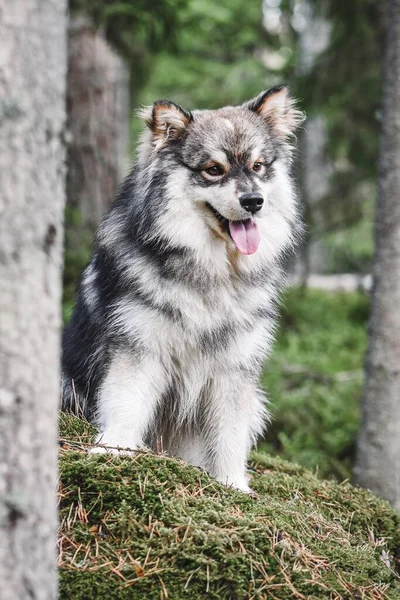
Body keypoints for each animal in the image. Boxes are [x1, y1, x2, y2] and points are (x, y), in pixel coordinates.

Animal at [61, 86, 304, 494]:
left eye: (257, 166)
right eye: (213, 169)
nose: (254, 201)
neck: (211, 273)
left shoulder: (234, 369)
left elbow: (229, 435)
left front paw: (233, 485)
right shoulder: (139, 349)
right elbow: (126, 403)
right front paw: (114, 450)